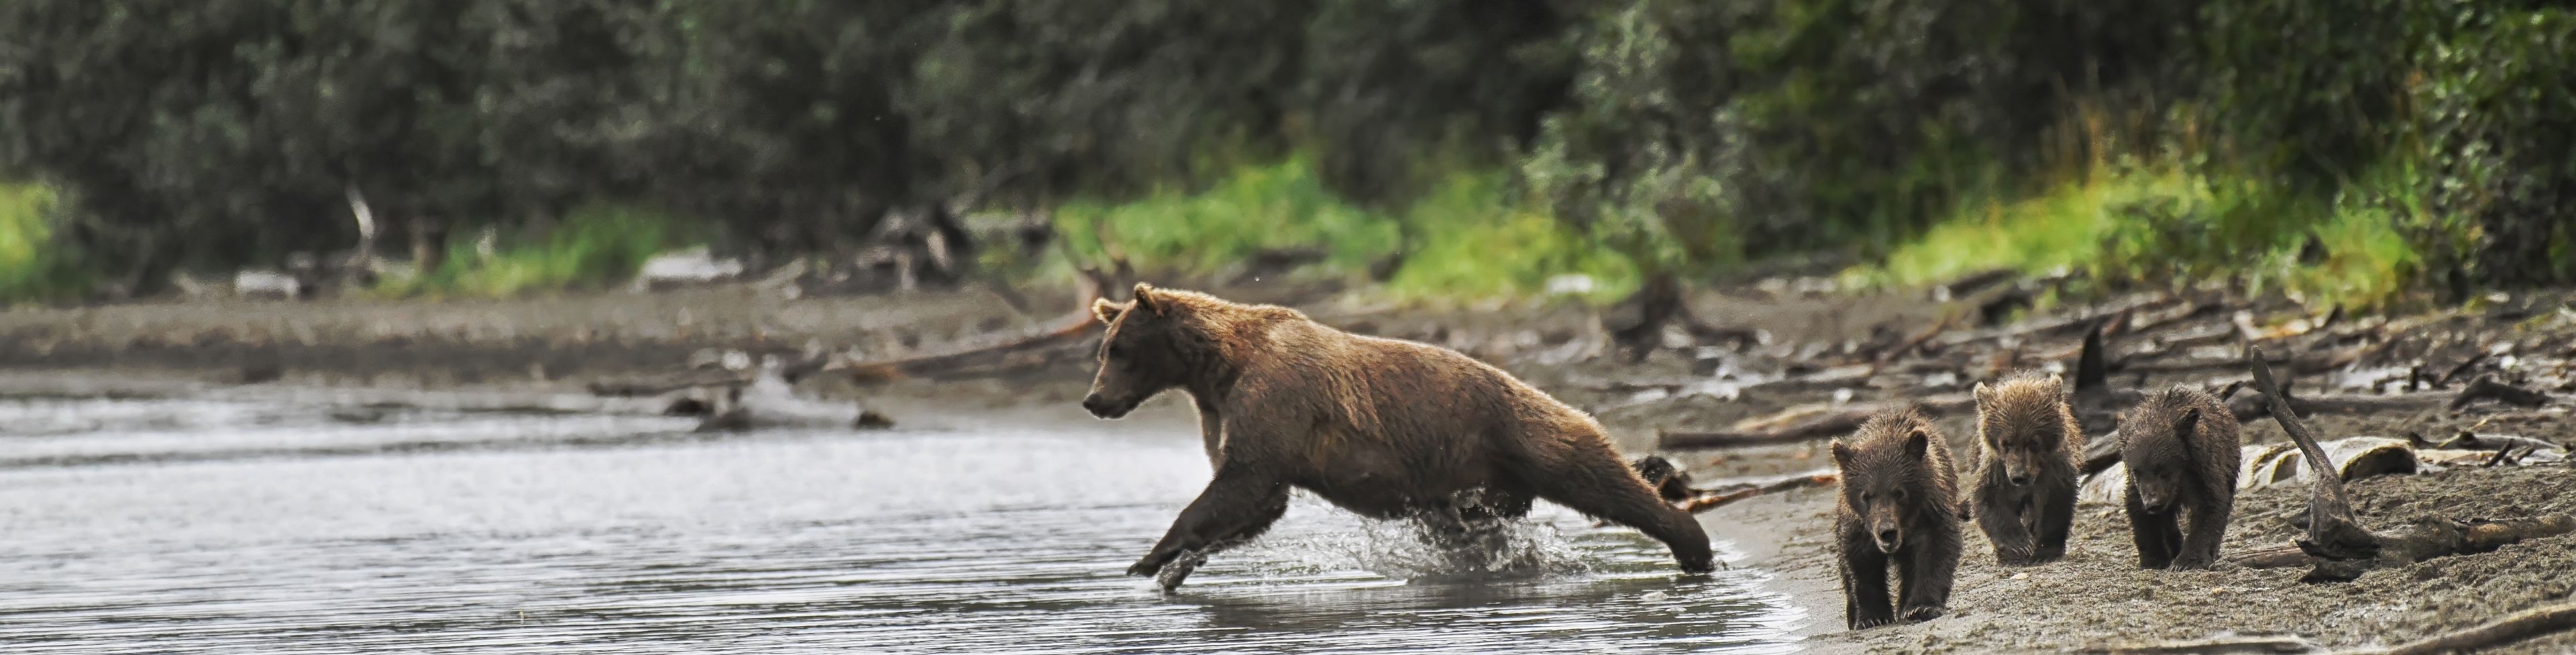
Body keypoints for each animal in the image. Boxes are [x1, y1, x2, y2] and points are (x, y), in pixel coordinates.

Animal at [1081, 283, 1715, 589]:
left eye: (1118, 350)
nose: (1094, 400)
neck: (1217, 366)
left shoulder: (1274, 396)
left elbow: (1244, 479)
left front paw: (1149, 557)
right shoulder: (1224, 411)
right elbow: (1253, 498)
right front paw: (1174, 563)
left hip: (1525, 434)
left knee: (1602, 480)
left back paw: (1695, 549)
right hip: (1474, 482)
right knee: (1477, 524)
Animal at [1831, 407, 1964, 630]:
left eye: (1899, 493)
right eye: (1866, 496)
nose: (1887, 532)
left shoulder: (1930, 513)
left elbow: (1934, 551)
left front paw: (1920, 608)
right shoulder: (1859, 527)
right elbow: (1862, 565)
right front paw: (1872, 617)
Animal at [1967, 370, 2085, 565]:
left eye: (2034, 442)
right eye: (2005, 443)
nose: (2019, 476)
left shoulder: (2056, 469)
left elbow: (2055, 503)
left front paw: (2045, 551)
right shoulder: (1996, 468)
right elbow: (1989, 498)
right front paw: (2018, 544)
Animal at [2118, 385, 2242, 570]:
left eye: (2163, 469)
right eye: (2137, 471)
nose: (2153, 503)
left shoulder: (2203, 473)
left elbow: (2210, 506)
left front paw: (2187, 562)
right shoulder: (2139, 487)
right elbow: (2138, 511)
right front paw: (2155, 560)